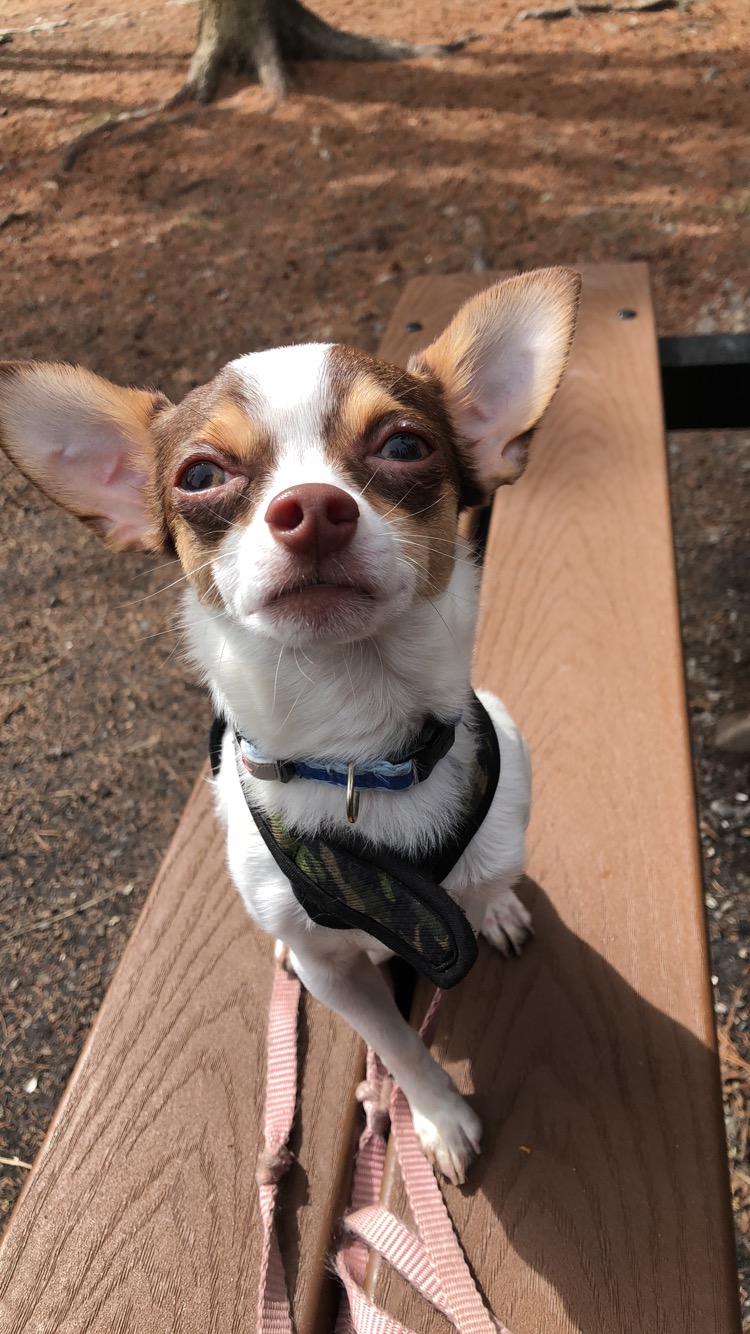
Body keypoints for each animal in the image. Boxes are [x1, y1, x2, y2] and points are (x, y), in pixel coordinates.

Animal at [0, 267, 580, 1185]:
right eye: (200, 474)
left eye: (404, 447)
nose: (311, 506)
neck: (357, 749)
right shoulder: (337, 975)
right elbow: (399, 1047)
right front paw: (438, 1116)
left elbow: (477, 896)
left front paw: (488, 913)